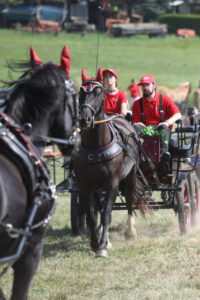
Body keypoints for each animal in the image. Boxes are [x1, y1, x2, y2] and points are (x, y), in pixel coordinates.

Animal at [72, 68, 148, 258]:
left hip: (130, 176)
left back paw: (130, 232)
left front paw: (102, 247)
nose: (84, 119)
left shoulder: (112, 182)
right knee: (99, 206)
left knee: (129, 200)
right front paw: (96, 242)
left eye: (98, 92)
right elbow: (92, 216)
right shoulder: (85, 185)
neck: (95, 146)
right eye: (81, 92)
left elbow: (107, 214)